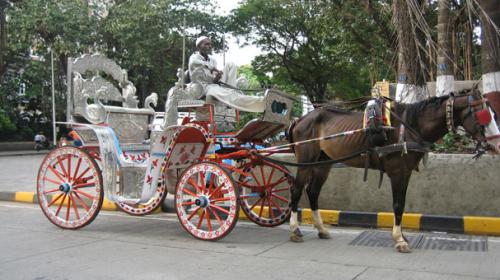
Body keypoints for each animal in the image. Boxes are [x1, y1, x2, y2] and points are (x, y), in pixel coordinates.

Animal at [288, 89, 498, 252]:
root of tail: (300, 119)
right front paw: (399, 239)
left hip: (324, 162)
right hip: (306, 160)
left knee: (313, 191)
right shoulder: (397, 172)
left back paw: (321, 229)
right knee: (296, 190)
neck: (410, 126)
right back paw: (295, 230)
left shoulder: (406, 172)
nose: (496, 143)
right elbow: (398, 204)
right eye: (483, 114)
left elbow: (402, 204)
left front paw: (403, 236)